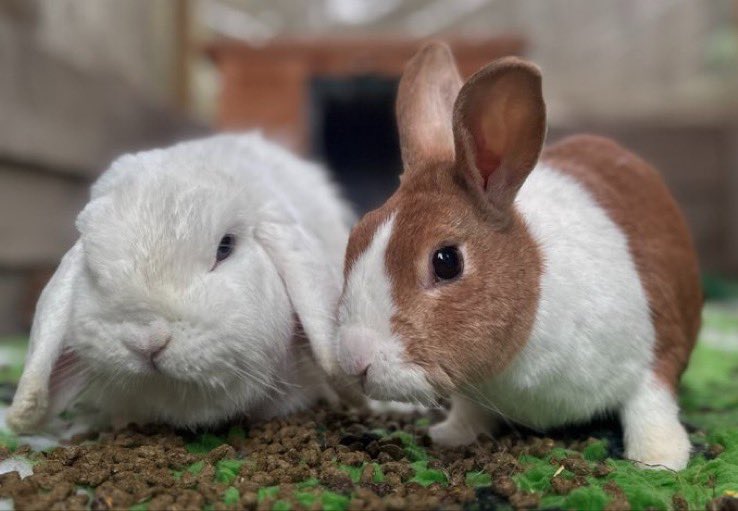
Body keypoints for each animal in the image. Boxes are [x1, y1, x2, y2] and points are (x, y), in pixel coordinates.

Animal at [335, 42, 702, 471]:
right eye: (357, 234)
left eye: (446, 261)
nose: (354, 359)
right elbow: (469, 413)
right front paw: (450, 435)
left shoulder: (656, 353)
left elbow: (650, 404)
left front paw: (659, 460)